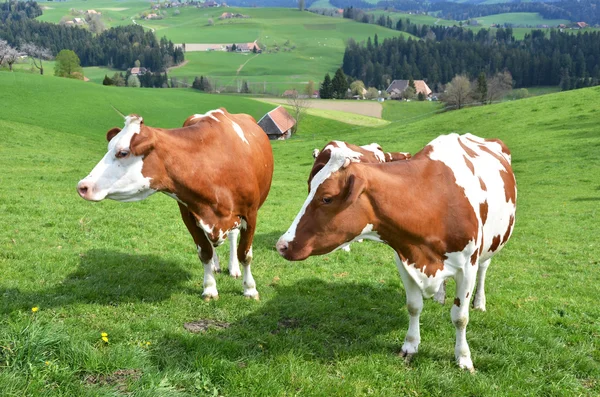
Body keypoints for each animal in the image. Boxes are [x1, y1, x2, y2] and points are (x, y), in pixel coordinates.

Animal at [78, 108, 274, 300]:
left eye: (123, 152)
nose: (82, 186)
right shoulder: (189, 215)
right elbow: (205, 252)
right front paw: (209, 287)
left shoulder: (250, 214)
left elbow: (245, 254)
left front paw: (250, 289)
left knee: (233, 236)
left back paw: (233, 268)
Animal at [276, 132, 516, 368]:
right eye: (309, 188)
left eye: (327, 198)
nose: (282, 245)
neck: (430, 202)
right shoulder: (404, 259)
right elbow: (413, 306)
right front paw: (410, 346)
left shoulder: (467, 266)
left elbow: (460, 317)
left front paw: (463, 358)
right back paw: (439, 296)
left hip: (491, 244)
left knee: (484, 269)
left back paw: (479, 302)